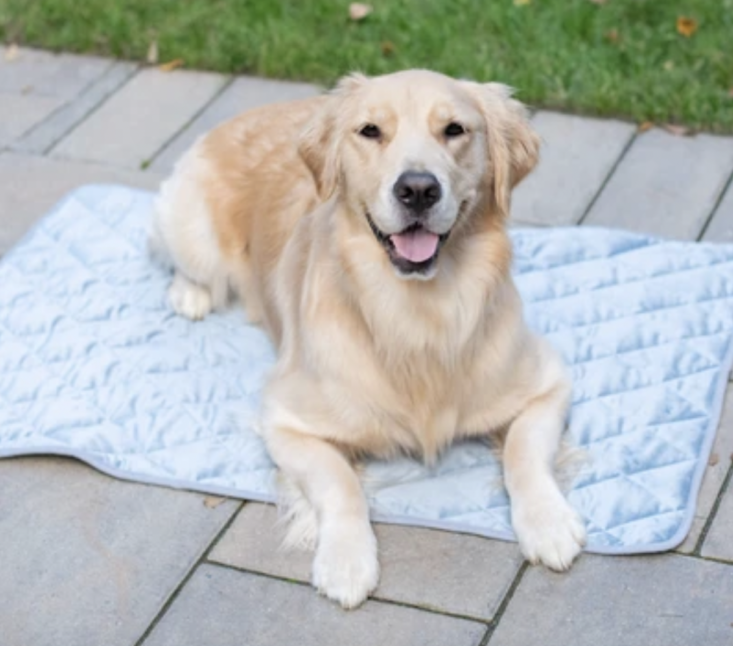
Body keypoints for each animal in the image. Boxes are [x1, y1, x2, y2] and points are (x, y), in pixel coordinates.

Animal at [152, 68, 588, 612]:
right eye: (370, 131)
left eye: (455, 130)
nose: (418, 189)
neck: (418, 312)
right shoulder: (287, 420)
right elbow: (340, 484)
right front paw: (346, 560)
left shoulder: (547, 382)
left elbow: (524, 452)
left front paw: (548, 523)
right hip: (191, 230)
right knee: (186, 263)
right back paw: (189, 294)